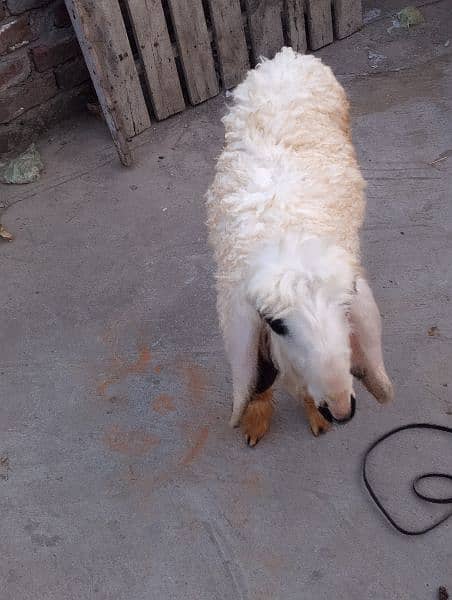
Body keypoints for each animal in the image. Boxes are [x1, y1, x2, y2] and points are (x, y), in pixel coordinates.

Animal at [206, 48, 392, 446]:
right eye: (276, 324)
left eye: (347, 306)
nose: (341, 410)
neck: (287, 233)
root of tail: (284, 57)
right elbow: (259, 376)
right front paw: (256, 416)